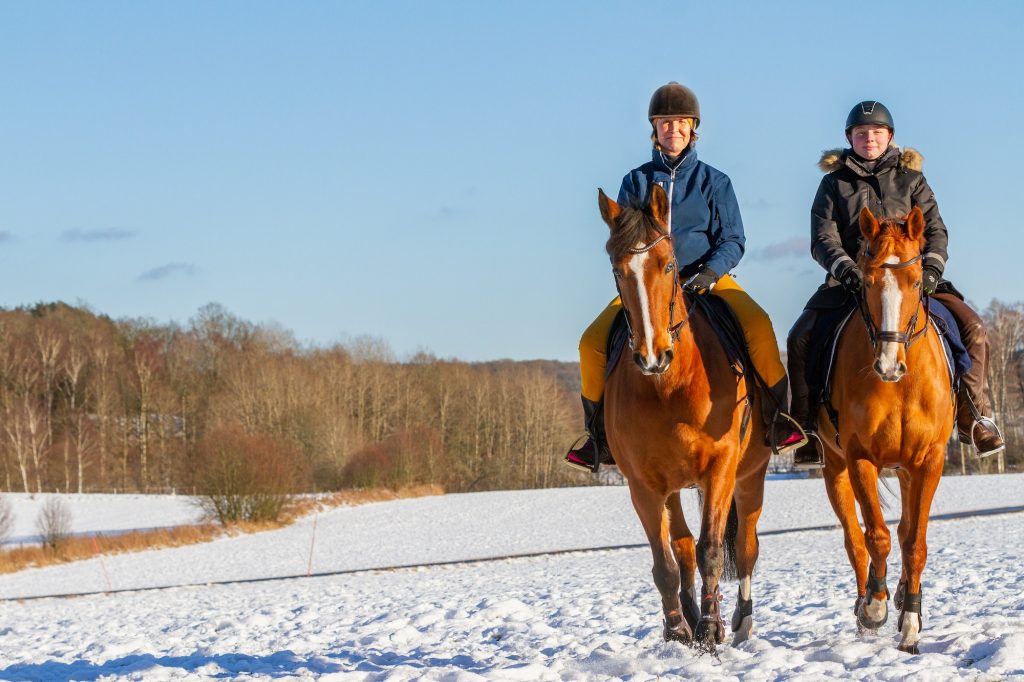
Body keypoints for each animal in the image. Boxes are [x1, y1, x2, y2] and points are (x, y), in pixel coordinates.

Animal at [819, 204, 954, 651]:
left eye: (916, 282)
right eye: (866, 281)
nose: (888, 366)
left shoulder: (929, 461)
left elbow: (914, 543)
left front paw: (910, 621)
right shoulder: (860, 458)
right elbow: (876, 535)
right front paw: (875, 608)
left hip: (909, 470)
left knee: (907, 529)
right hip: (834, 468)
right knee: (855, 540)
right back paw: (868, 605)